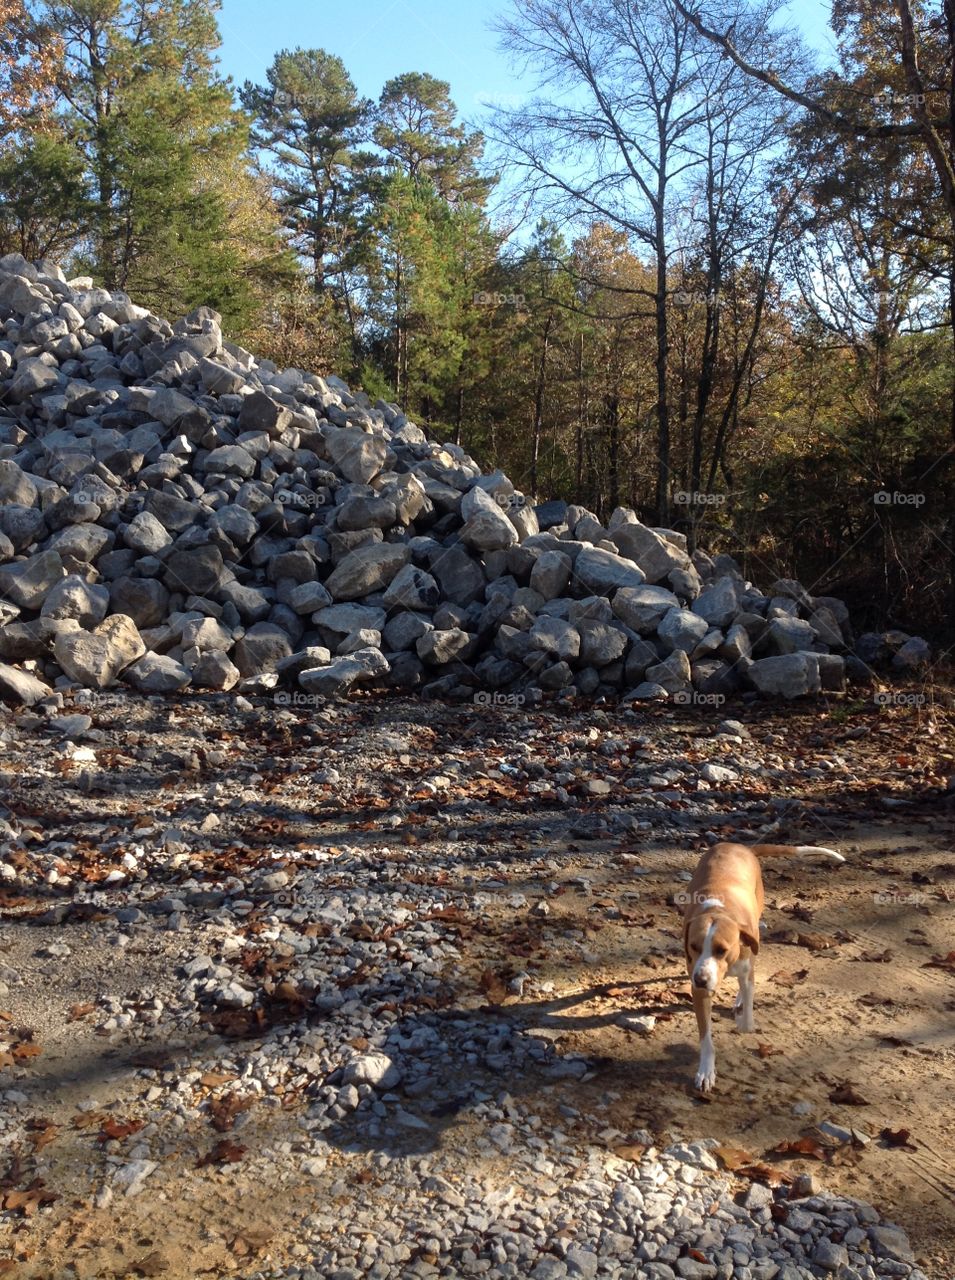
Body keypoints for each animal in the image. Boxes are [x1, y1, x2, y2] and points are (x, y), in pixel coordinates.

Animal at [681, 839, 844, 1090]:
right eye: (694, 946)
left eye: (721, 950)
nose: (700, 980)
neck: (719, 909)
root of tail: (740, 846)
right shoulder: (699, 986)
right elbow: (706, 1037)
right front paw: (706, 1071)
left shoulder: (746, 966)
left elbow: (748, 1018)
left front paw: (742, 1018)